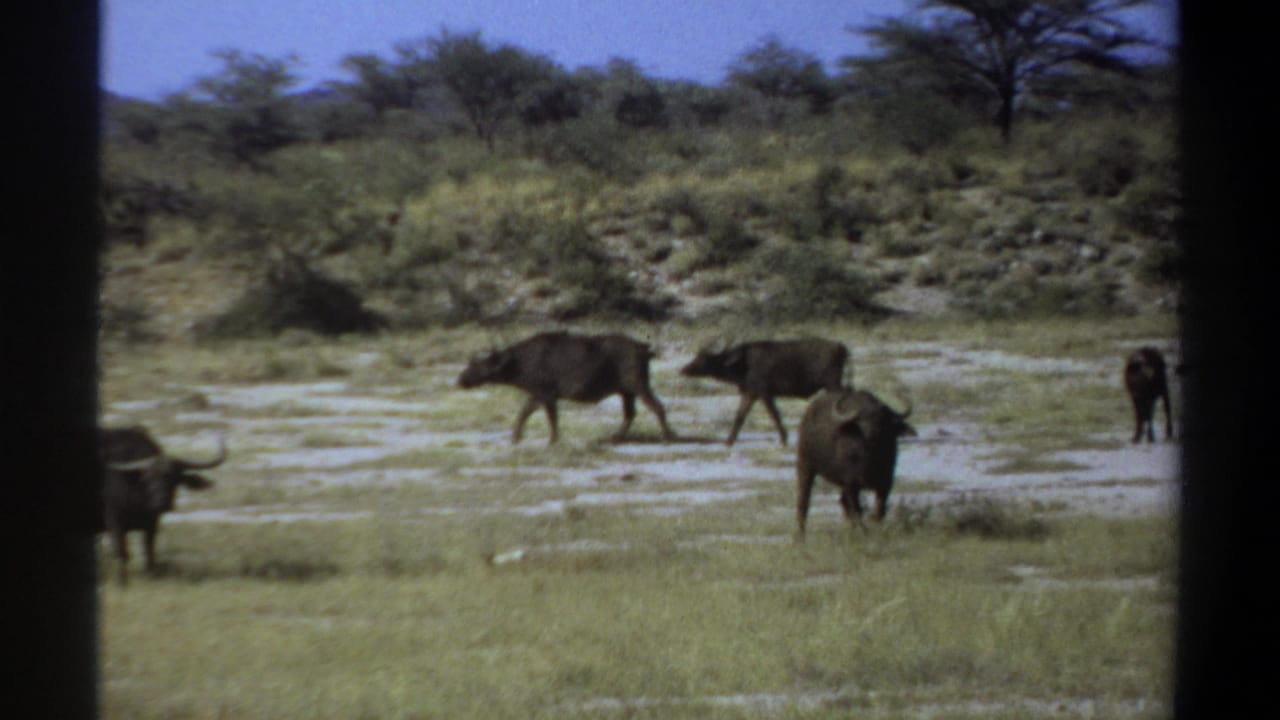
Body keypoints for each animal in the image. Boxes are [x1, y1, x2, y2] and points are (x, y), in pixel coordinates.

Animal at [99, 426, 226, 584]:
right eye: (148, 478)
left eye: (175, 478)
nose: (162, 502)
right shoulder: (115, 522)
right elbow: (121, 552)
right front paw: (122, 582)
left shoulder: (151, 524)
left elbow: (149, 550)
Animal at [458, 331, 675, 444]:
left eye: (480, 365)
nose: (462, 379)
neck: (518, 364)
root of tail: (645, 349)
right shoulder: (540, 394)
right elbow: (526, 414)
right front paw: (516, 437)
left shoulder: (546, 394)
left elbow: (547, 418)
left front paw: (551, 440)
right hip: (626, 392)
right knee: (630, 414)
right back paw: (615, 437)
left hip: (637, 385)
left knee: (657, 407)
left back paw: (668, 436)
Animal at [681, 338, 849, 446]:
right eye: (696, 356)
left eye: (704, 359)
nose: (684, 369)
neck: (742, 367)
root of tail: (842, 348)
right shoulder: (749, 393)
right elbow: (740, 416)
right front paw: (729, 440)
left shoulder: (764, 392)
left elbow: (774, 415)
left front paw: (784, 438)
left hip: (832, 383)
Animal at [795, 388, 915, 538]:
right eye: (861, 419)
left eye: (882, 418)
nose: (873, 433)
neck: (870, 458)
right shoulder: (851, 483)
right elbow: (857, 511)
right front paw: (864, 532)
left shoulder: (886, 481)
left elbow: (880, 510)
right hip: (805, 465)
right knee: (803, 501)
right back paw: (800, 537)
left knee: (843, 502)